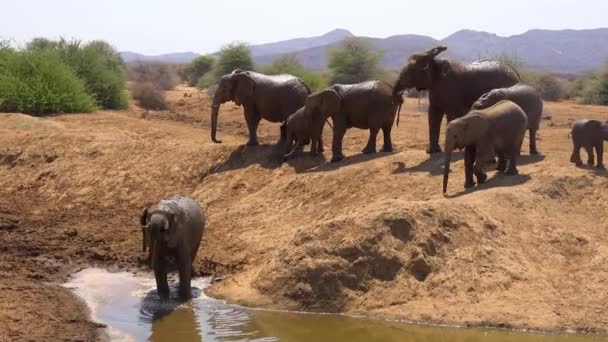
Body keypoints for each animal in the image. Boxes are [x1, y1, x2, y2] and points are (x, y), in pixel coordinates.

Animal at [392, 45, 520, 154]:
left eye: (412, 70)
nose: (400, 97)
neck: (435, 62)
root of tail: (516, 73)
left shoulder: (451, 88)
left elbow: (451, 114)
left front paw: (454, 149)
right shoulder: (435, 88)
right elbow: (433, 114)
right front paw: (433, 152)